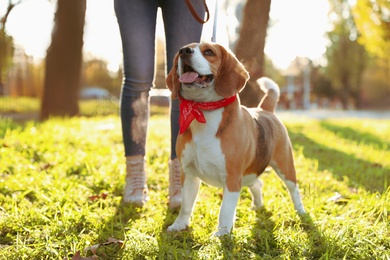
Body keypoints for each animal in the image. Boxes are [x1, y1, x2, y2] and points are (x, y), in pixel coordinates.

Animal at [165, 42, 304, 236]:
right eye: (181, 52)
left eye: (209, 52)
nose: (184, 51)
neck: (204, 110)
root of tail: (265, 110)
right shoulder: (189, 173)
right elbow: (186, 205)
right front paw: (179, 225)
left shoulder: (232, 177)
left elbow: (225, 210)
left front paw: (222, 234)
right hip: (249, 172)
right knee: (257, 183)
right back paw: (258, 205)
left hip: (285, 165)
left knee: (294, 189)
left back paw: (301, 211)